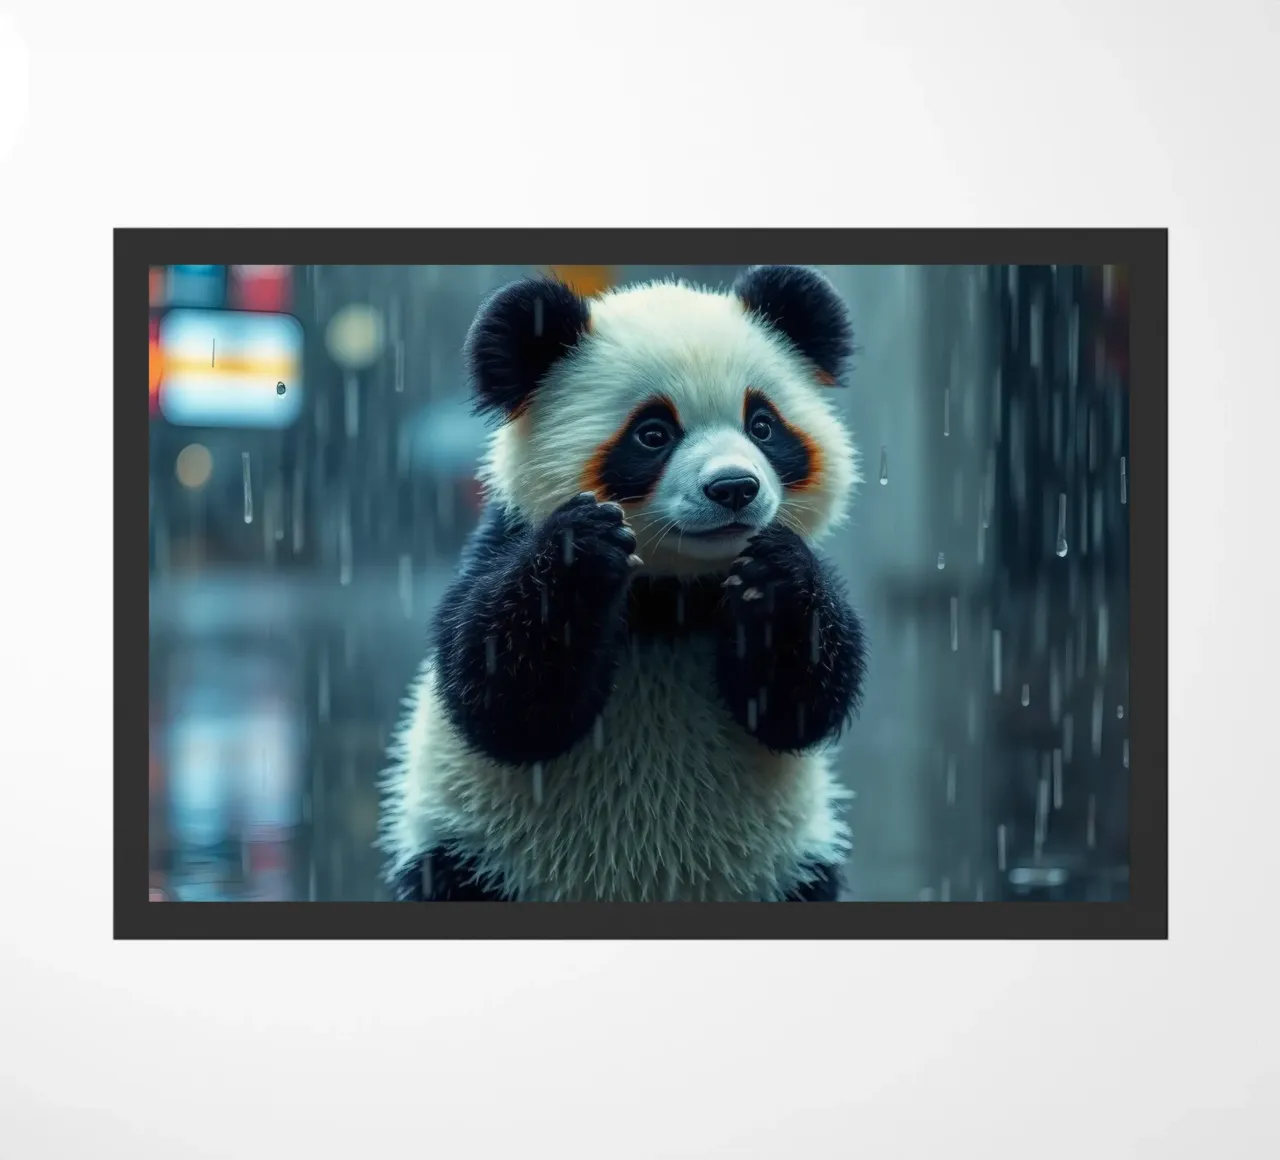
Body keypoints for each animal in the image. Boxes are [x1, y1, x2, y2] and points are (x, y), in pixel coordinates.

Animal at [378, 264, 867, 902]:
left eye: (762, 425)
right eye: (653, 433)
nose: (734, 487)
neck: (673, 594)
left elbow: (799, 706)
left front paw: (777, 577)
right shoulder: (499, 544)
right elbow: (501, 698)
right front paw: (580, 553)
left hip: (786, 869)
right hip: (477, 857)